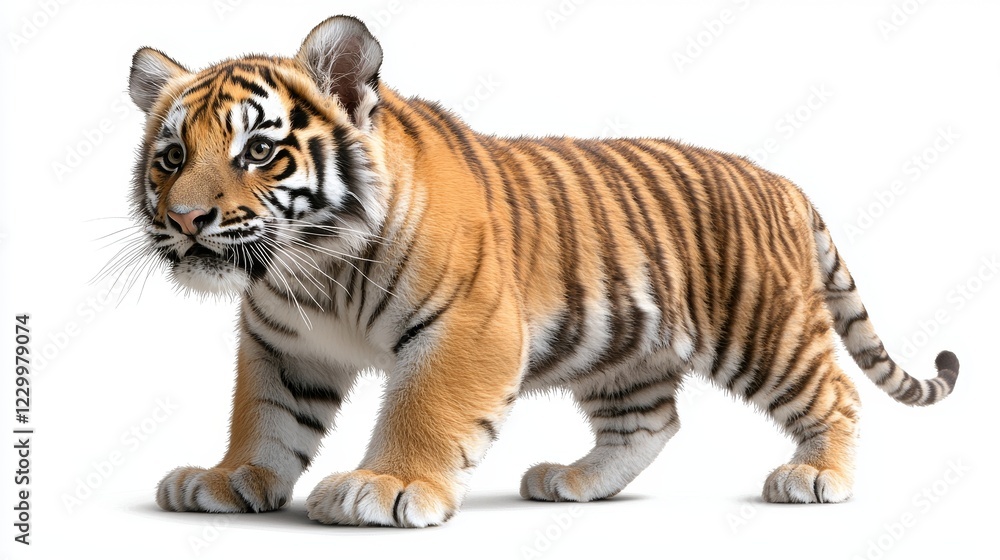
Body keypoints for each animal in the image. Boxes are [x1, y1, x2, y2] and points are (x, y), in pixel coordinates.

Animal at [123, 15, 959, 527]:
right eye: (172, 157)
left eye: (259, 151)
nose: (186, 219)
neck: (312, 268)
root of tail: (784, 182)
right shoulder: (282, 347)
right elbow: (265, 418)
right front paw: (230, 479)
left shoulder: (465, 329)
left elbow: (422, 412)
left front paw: (384, 486)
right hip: (625, 350)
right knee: (651, 421)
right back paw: (574, 481)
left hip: (764, 328)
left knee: (836, 392)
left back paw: (817, 477)